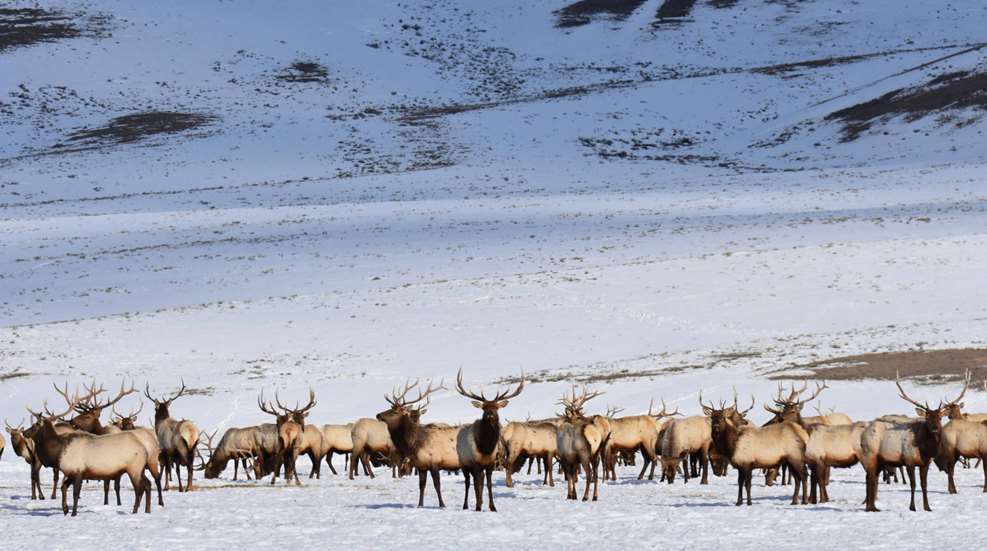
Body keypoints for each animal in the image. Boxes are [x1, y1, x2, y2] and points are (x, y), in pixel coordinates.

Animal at [29, 386, 154, 516]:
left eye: (35, 424)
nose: (24, 432)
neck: (58, 454)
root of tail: (144, 448)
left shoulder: (78, 471)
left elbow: (75, 494)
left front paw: (73, 513)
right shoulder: (71, 472)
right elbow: (63, 487)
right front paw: (65, 509)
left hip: (134, 468)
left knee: (139, 489)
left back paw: (135, 510)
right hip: (140, 469)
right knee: (148, 484)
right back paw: (147, 510)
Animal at [377, 379, 458, 507]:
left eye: (395, 411)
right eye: (389, 407)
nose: (378, 415)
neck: (413, 445)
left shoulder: (434, 462)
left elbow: (437, 485)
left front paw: (442, 505)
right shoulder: (421, 465)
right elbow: (421, 486)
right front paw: (420, 504)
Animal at [453, 370, 525, 512]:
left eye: (496, 407)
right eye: (484, 407)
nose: (490, 414)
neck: (485, 447)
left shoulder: (490, 463)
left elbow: (489, 484)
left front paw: (492, 507)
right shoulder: (475, 463)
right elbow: (476, 485)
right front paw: (478, 506)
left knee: (479, 482)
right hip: (464, 464)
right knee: (468, 483)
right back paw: (466, 505)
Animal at [860, 372, 948, 512]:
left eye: (940, 417)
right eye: (927, 417)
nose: (935, 429)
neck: (925, 449)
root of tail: (863, 433)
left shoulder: (925, 463)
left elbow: (924, 485)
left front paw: (927, 507)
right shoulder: (909, 461)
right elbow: (913, 484)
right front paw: (912, 507)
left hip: (880, 459)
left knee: (872, 477)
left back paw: (872, 506)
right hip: (870, 454)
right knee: (870, 477)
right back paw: (870, 507)